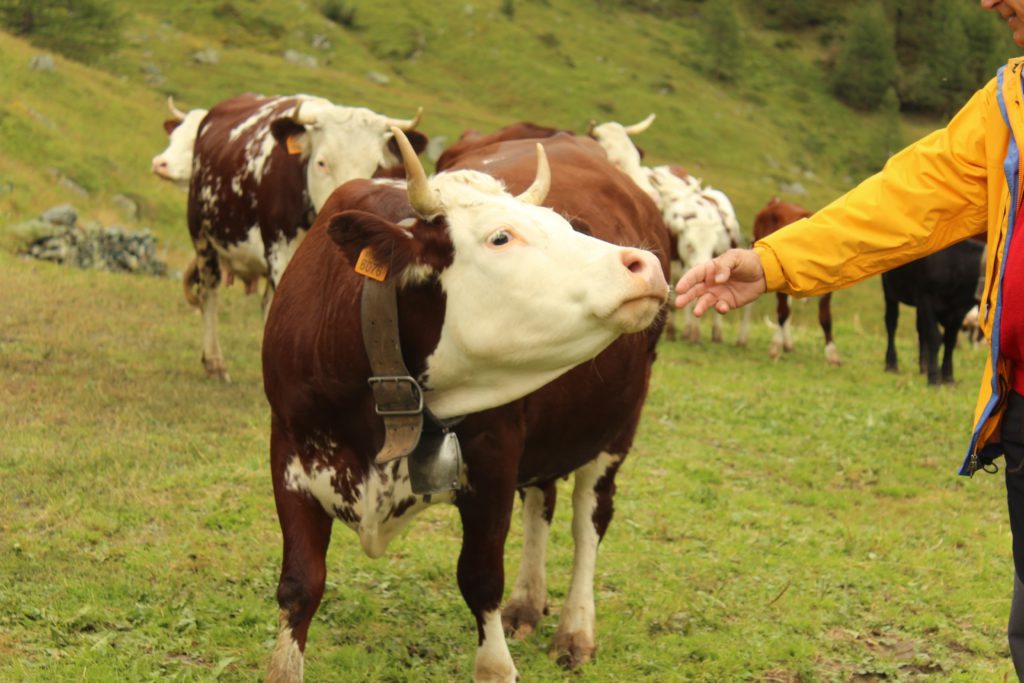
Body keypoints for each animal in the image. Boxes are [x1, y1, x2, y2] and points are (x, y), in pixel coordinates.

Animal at [186, 91, 425, 382]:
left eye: (377, 168)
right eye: (322, 163)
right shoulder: (280, 248)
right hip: (202, 235)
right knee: (210, 293)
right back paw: (215, 363)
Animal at [260, 133, 667, 683]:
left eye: (566, 226)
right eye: (501, 238)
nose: (642, 265)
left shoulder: (493, 462)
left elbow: (480, 580)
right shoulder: (290, 455)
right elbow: (300, 585)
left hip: (615, 427)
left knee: (589, 520)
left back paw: (575, 630)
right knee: (541, 500)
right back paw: (527, 603)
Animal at [753, 196, 839, 366]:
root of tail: (776, 202)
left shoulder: (827, 291)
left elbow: (825, 318)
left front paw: (832, 355)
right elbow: (782, 313)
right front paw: (775, 348)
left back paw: (788, 344)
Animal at [884, 239, 987, 385]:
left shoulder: (958, 310)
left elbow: (950, 340)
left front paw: (948, 377)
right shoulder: (926, 299)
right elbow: (934, 337)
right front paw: (934, 378)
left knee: (921, 330)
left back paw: (924, 367)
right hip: (890, 289)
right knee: (891, 323)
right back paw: (891, 365)